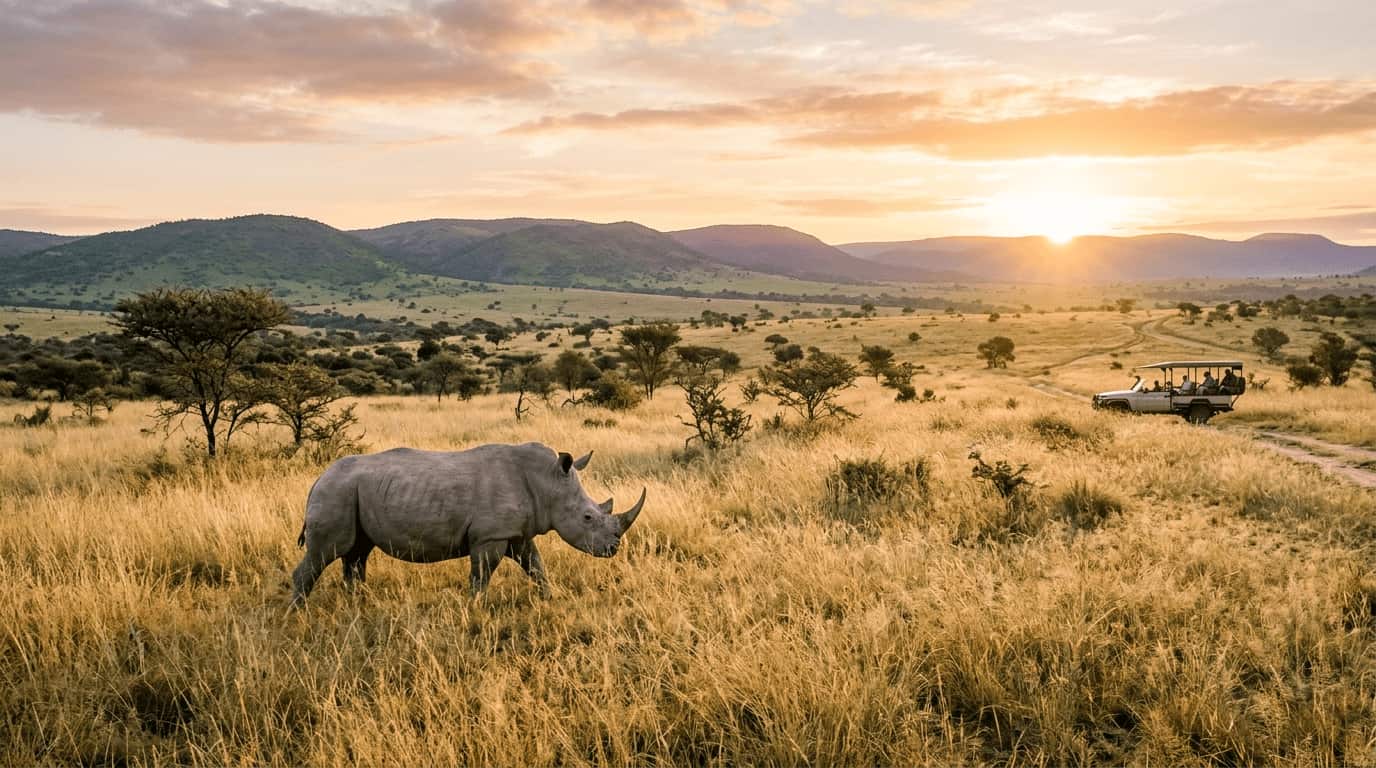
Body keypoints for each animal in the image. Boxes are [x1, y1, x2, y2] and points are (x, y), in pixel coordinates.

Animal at [290, 442, 645, 605]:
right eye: (587, 517)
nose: (613, 549)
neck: (547, 482)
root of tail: (318, 478)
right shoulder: (490, 535)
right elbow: (482, 574)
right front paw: (475, 606)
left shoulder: (516, 532)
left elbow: (536, 565)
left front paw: (550, 598)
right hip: (336, 492)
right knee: (326, 553)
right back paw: (298, 612)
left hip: (351, 493)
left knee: (357, 553)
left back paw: (358, 602)